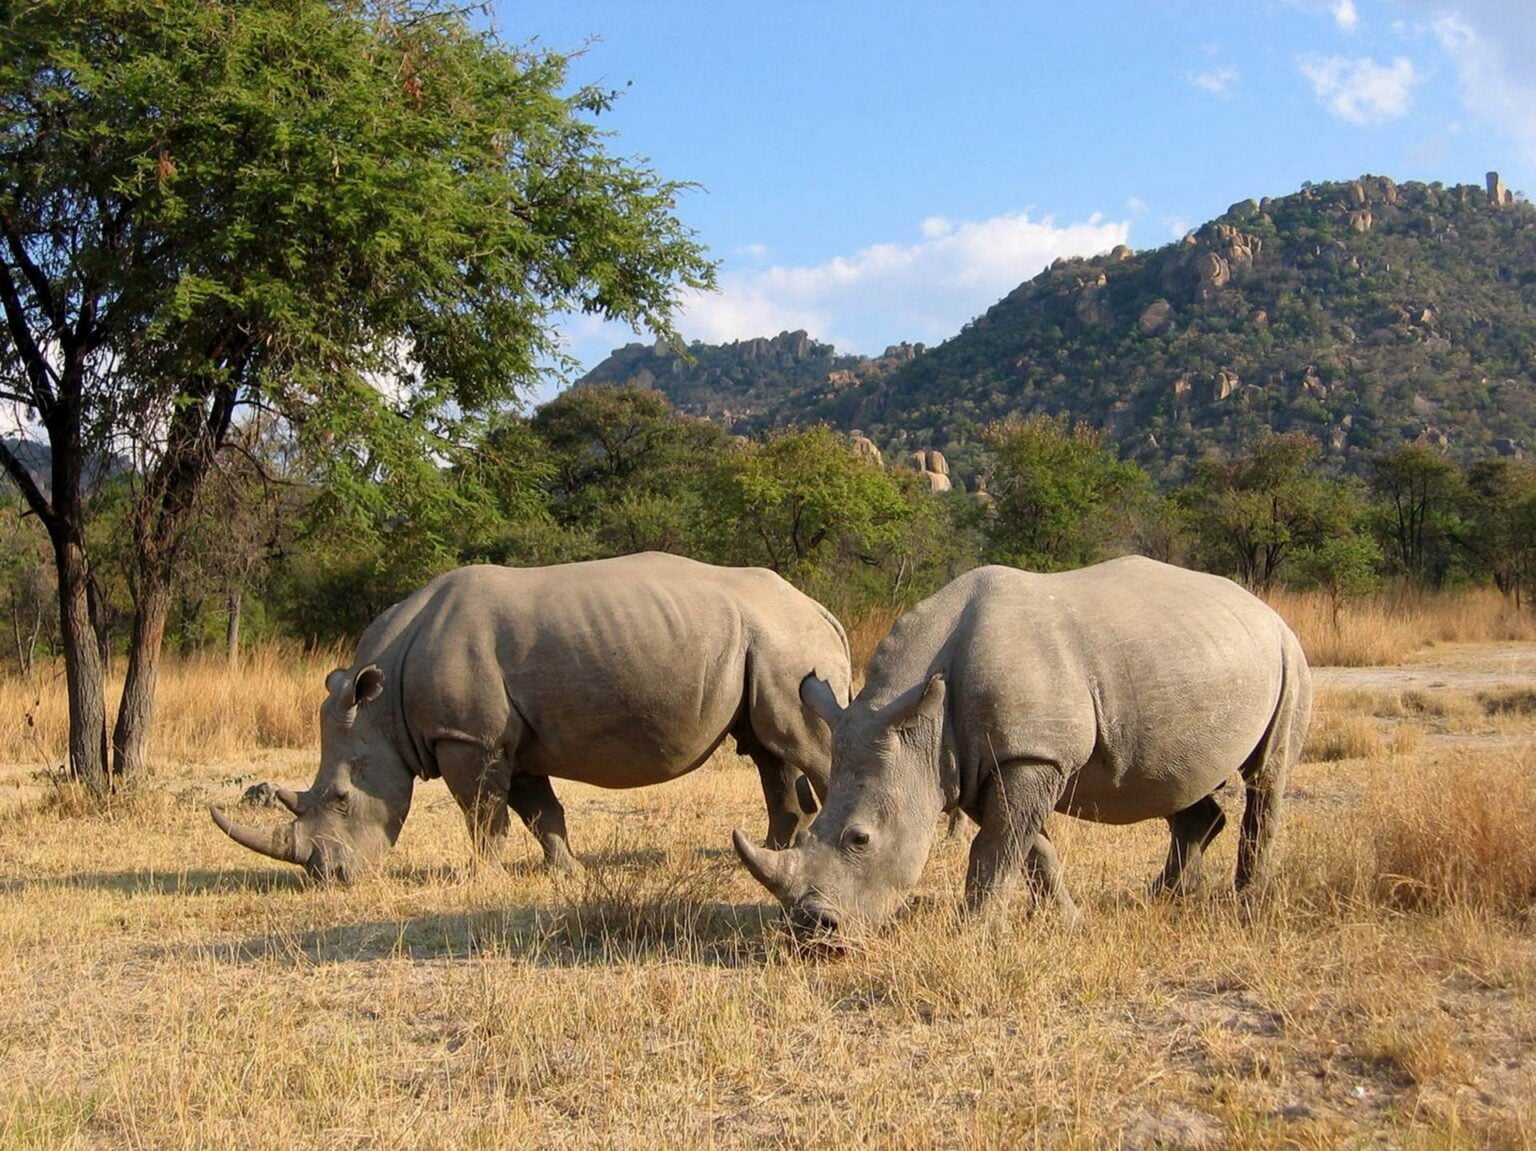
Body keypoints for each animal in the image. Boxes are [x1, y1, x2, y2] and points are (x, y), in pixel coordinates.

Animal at [211, 553, 851, 882]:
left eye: (342, 799)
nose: (329, 877)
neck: (383, 702)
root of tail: (822, 609)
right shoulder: (505, 740)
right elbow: (540, 811)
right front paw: (568, 873)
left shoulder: (468, 737)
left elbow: (482, 814)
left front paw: (483, 879)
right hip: (767, 643)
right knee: (767, 749)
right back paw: (772, 853)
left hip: (789, 644)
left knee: (804, 748)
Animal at [733, 556, 1312, 938]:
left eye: (860, 839)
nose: (814, 931)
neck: (918, 725)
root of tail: (1263, 609)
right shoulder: (979, 764)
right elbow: (1029, 847)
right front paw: (1069, 921)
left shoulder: (1031, 755)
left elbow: (996, 848)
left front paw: (970, 934)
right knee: (1178, 783)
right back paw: (1165, 897)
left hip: (1288, 654)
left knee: (1267, 777)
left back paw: (1246, 906)